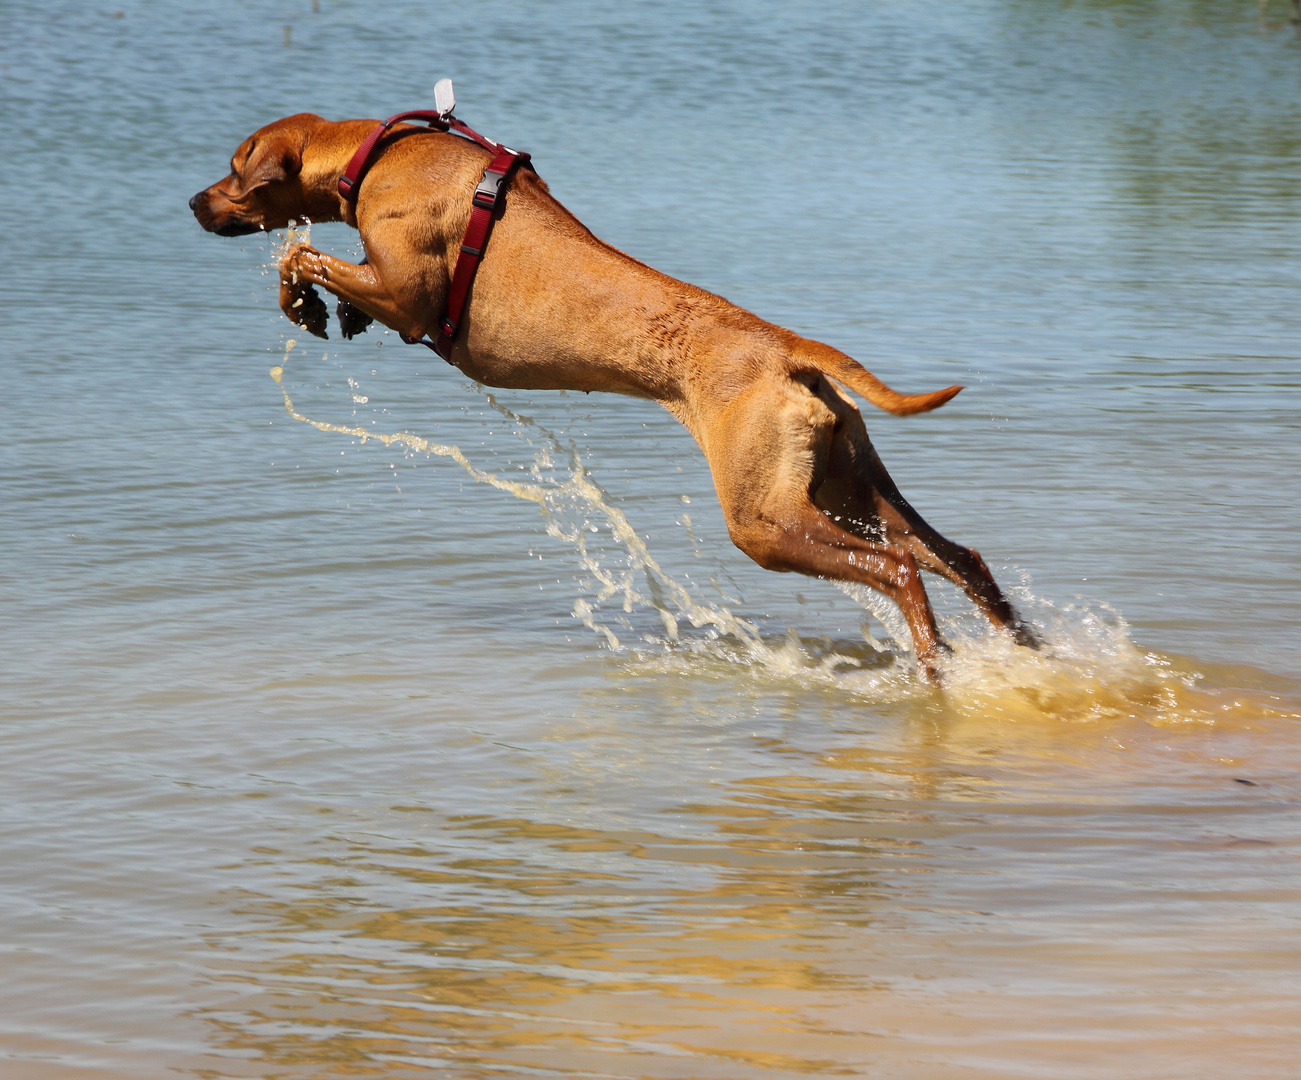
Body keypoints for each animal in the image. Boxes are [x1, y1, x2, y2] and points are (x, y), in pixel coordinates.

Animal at [188, 114, 1035, 681]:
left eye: (232, 168)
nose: (194, 203)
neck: (373, 155)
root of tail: (788, 350)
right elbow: (321, 262)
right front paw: (332, 311)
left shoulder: (410, 298)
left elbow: (303, 254)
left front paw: (301, 299)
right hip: (846, 482)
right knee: (957, 557)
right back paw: (1026, 651)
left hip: (764, 518)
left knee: (896, 570)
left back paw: (936, 665)